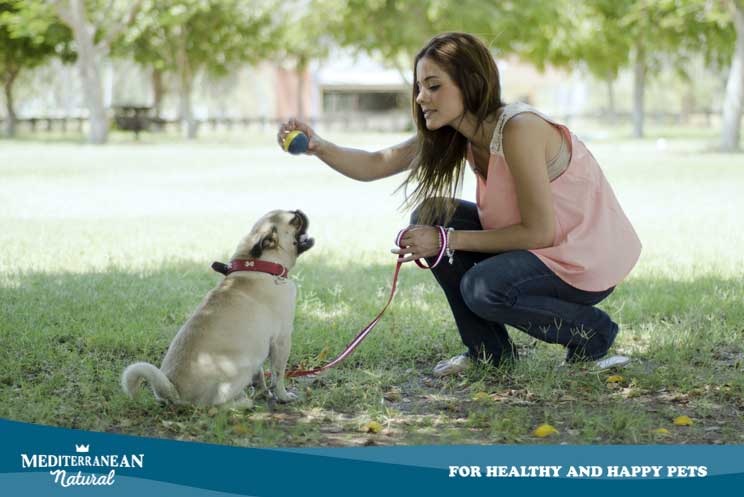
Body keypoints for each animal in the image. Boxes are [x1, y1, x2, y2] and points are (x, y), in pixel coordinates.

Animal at [122, 207, 314, 404]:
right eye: (295, 220)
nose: (299, 211)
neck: (262, 265)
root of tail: (175, 392)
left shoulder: (259, 346)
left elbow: (260, 375)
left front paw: (263, 392)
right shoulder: (282, 340)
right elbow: (278, 375)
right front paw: (283, 396)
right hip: (241, 367)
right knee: (217, 404)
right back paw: (243, 403)